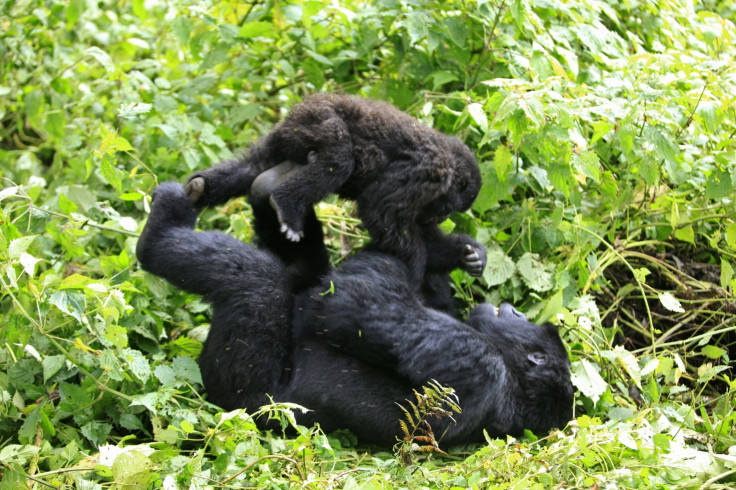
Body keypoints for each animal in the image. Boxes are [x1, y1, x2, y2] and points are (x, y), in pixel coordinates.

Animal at [184, 93, 484, 284]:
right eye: (449, 208)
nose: (441, 217)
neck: (451, 162)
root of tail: (305, 105)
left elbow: (420, 232)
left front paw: (467, 255)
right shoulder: (430, 173)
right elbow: (380, 212)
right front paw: (414, 270)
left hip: (288, 134)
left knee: (254, 164)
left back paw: (202, 187)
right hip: (318, 121)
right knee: (339, 160)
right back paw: (286, 204)